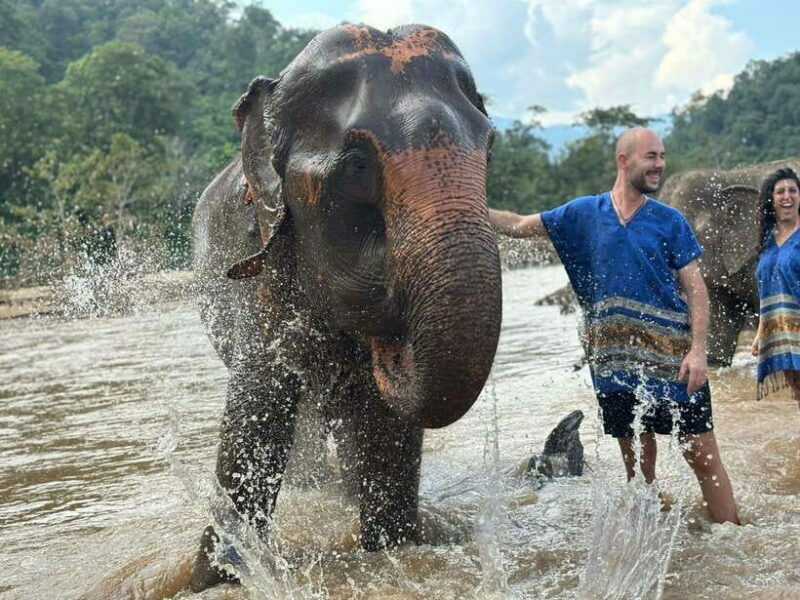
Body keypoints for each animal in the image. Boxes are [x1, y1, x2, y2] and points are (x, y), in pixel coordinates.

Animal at [189, 24, 502, 591]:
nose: (393, 348)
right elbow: (256, 417)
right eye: (357, 167)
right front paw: (217, 574)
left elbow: (386, 432)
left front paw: (391, 549)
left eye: (489, 149)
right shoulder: (263, 272)